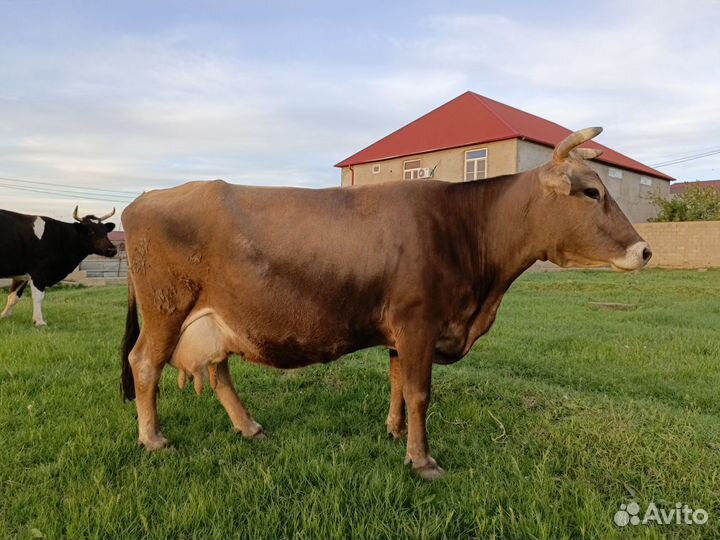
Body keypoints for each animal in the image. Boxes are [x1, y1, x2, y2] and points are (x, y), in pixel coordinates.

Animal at [120, 127, 651, 480]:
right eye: (591, 191)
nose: (645, 250)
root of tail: (144, 198)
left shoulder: (402, 330)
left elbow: (397, 382)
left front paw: (395, 432)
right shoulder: (419, 323)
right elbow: (419, 392)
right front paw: (422, 460)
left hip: (217, 317)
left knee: (218, 369)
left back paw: (249, 428)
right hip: (166, 309)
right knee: (144, 362)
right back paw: (154, 440)